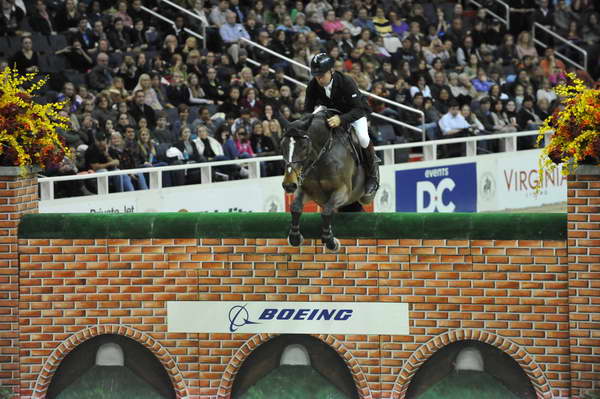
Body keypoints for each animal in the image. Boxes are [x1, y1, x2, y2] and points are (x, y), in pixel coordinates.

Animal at [278, 108, 372, 252]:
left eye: (304, 146)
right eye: (282, 146)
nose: (289, 185)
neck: (320, 157)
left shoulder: (343, 191)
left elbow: (327, 211)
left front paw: (331, 241)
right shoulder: (306, 190)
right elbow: (295, 208)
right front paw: (294, 237)